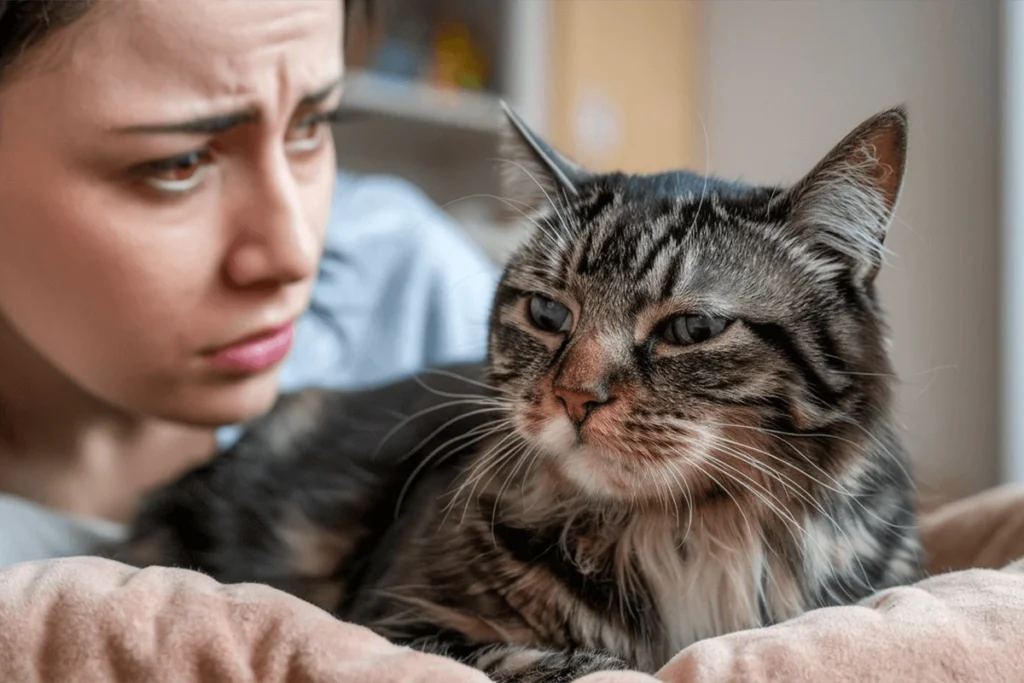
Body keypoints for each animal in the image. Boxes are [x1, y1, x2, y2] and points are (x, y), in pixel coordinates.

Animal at [116, 104, 925, 679]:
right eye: (547, 313)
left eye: (692, 328)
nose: (575, 397)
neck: (686, 532)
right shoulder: (386, 624)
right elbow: (576, 664)